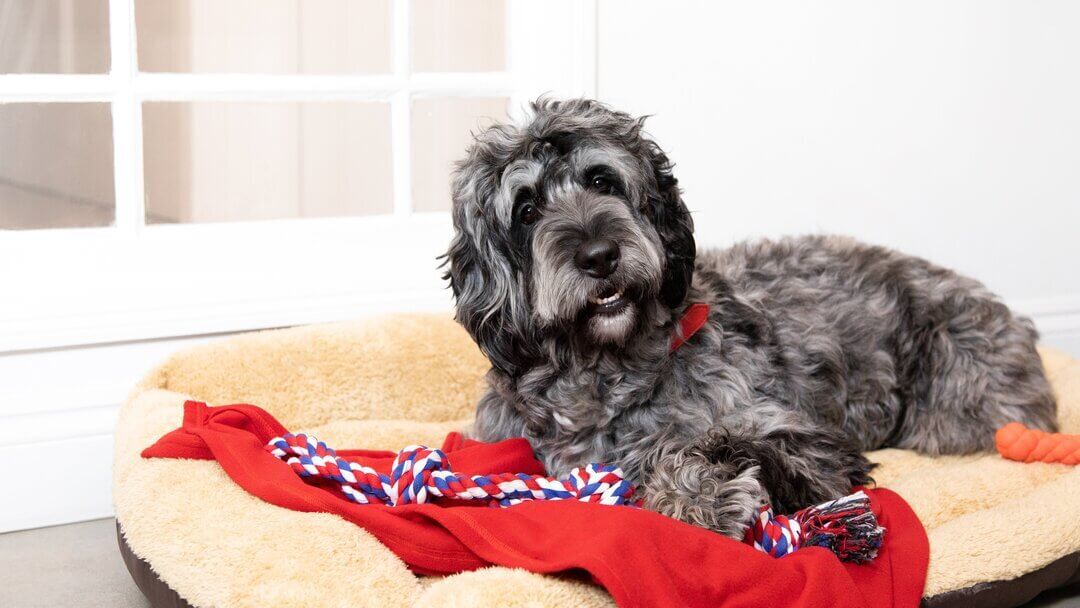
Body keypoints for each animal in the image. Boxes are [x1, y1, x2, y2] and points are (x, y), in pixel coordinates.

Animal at [442, 98, 1058, 537]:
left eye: (601, 180)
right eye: (526, 210)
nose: (599, 256)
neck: (608, 376)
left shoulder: (811, 448)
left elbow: (711, 442)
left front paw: (694, 497)